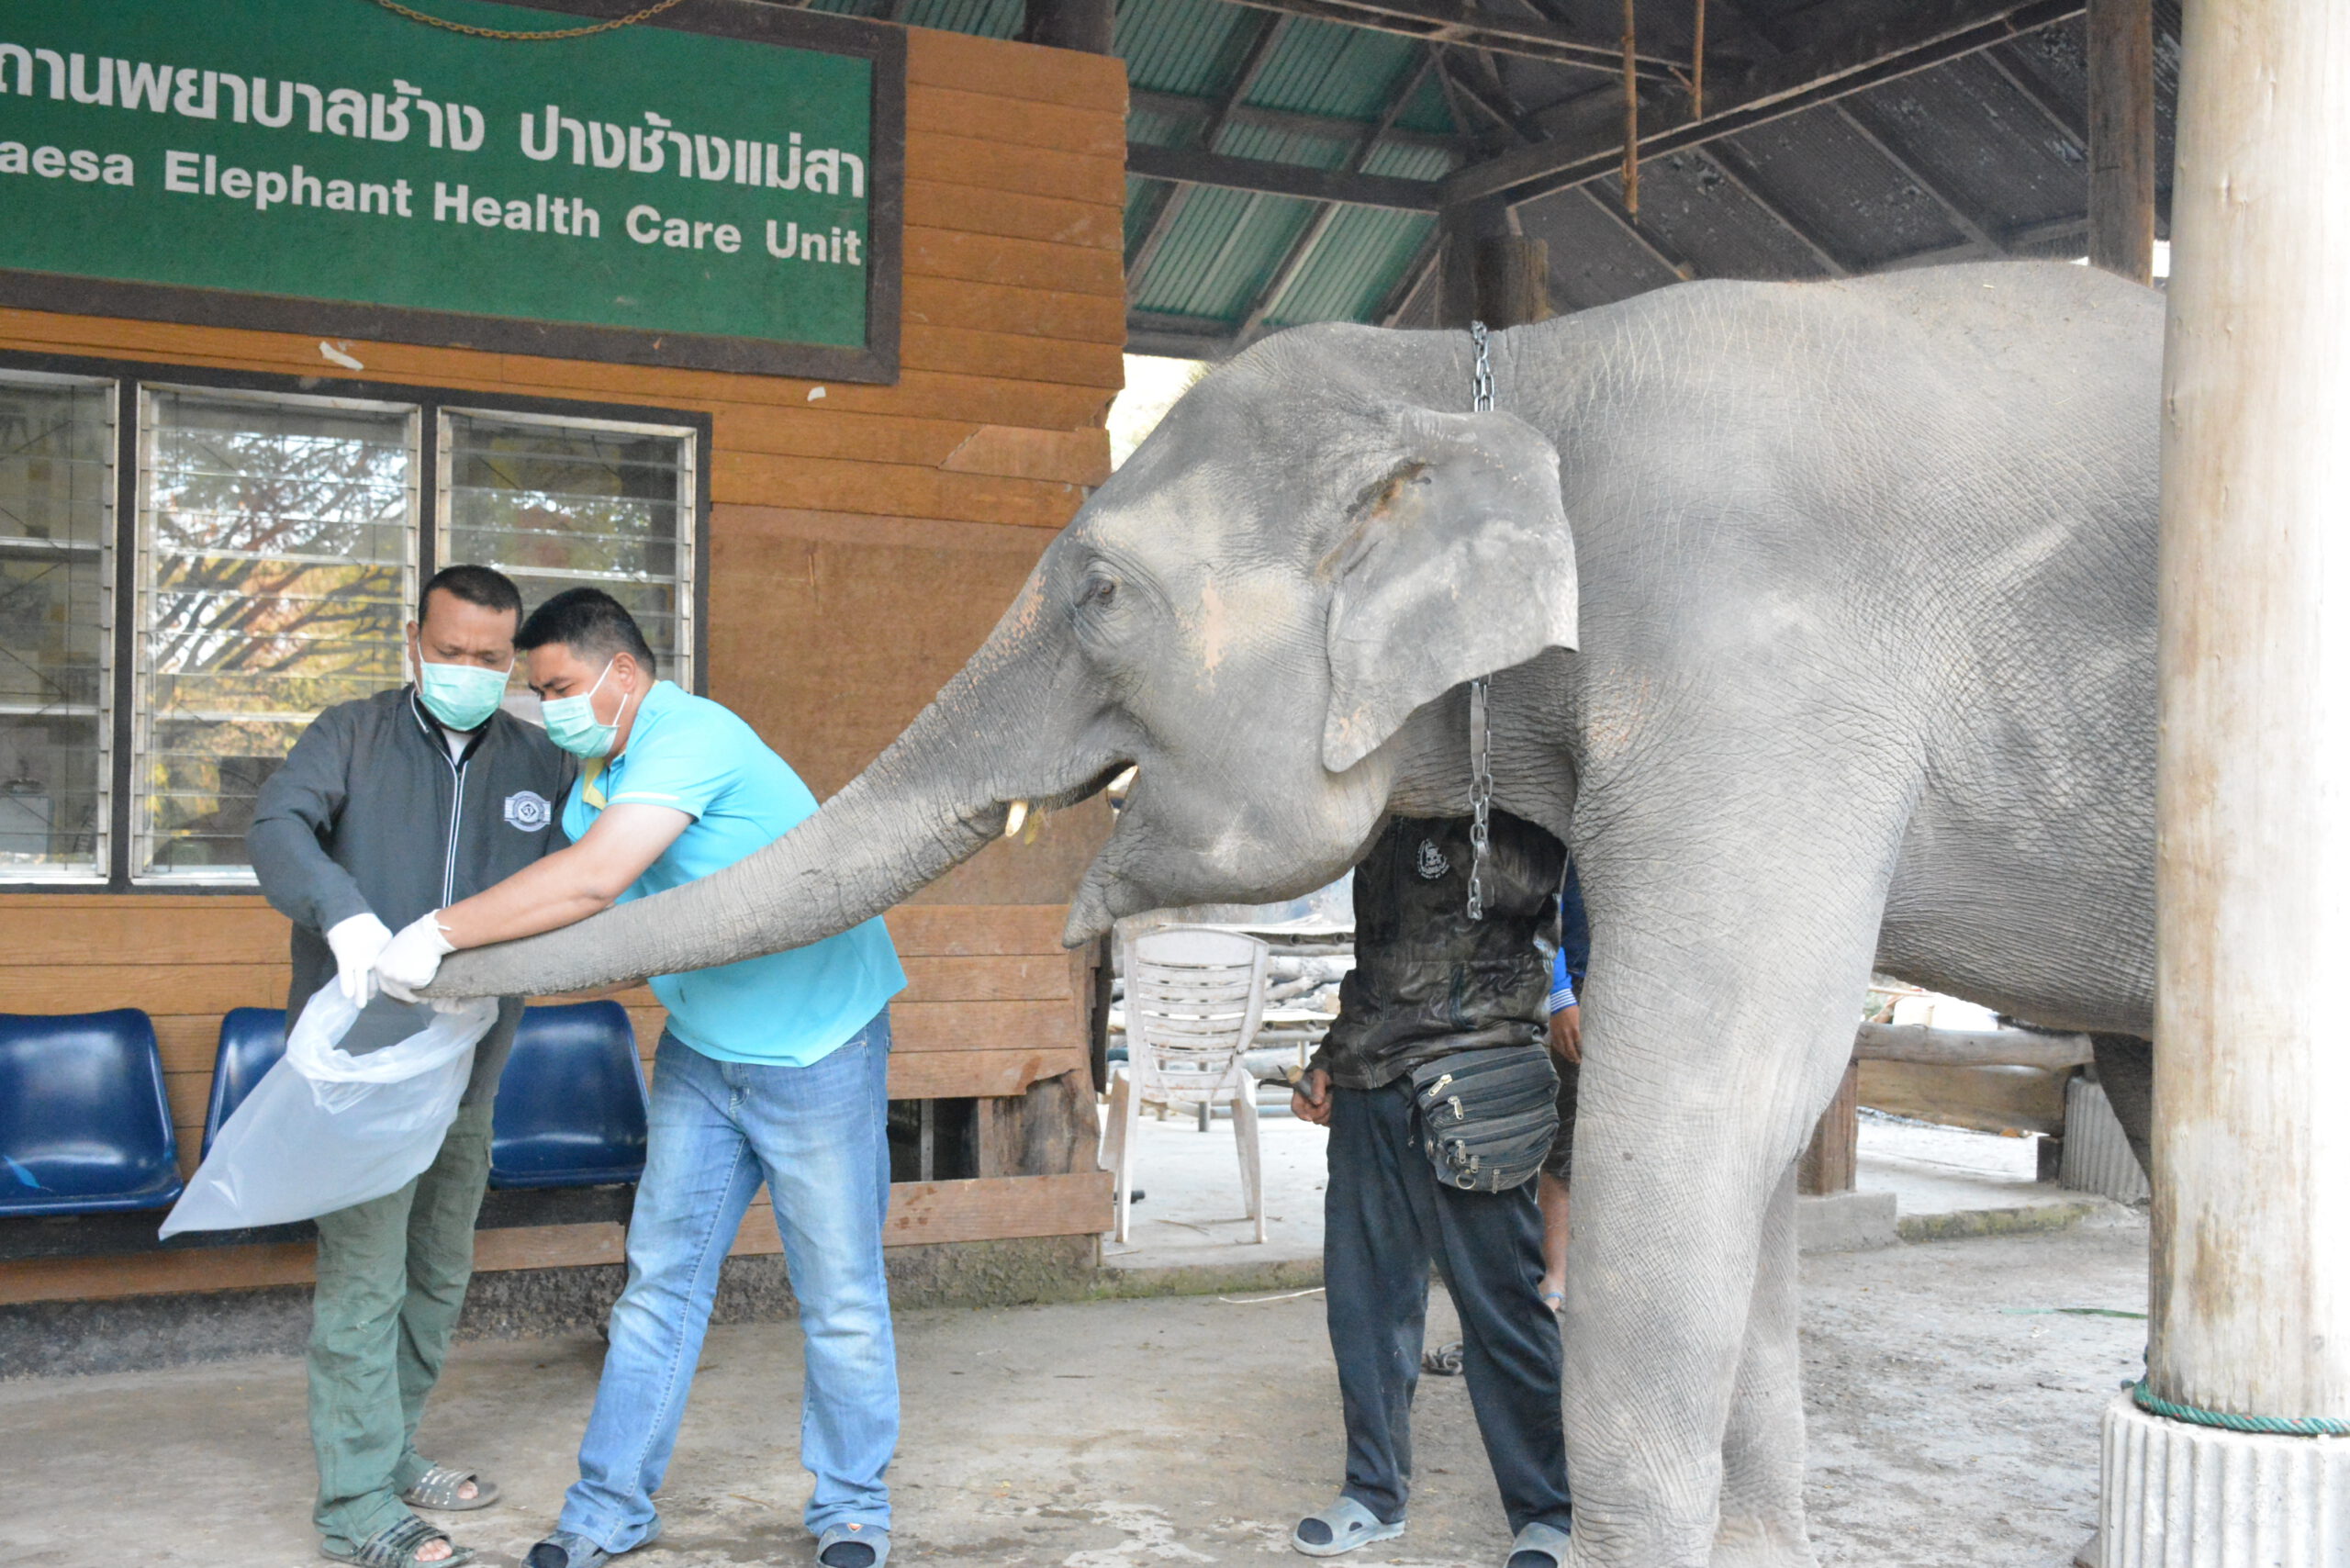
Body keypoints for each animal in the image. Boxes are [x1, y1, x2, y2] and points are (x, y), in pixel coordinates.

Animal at [435, 258, 2162, 1567]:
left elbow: (1698, 1102)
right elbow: (1747, 1139)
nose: (429, 967)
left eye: (1099, 595)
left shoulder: (1763, 680)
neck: (1504, 369)